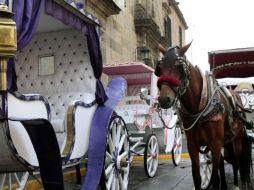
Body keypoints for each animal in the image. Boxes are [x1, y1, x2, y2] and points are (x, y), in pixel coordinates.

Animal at [156, 43, 253, 190]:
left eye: (179, 67)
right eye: (159, 69)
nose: (164, 99)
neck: (198, 109)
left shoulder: (215, 143)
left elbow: (215, 179)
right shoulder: (193, 146)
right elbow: (197, 177)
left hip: (236, 139)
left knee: (236, 162)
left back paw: (236, 184)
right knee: (221, 164)